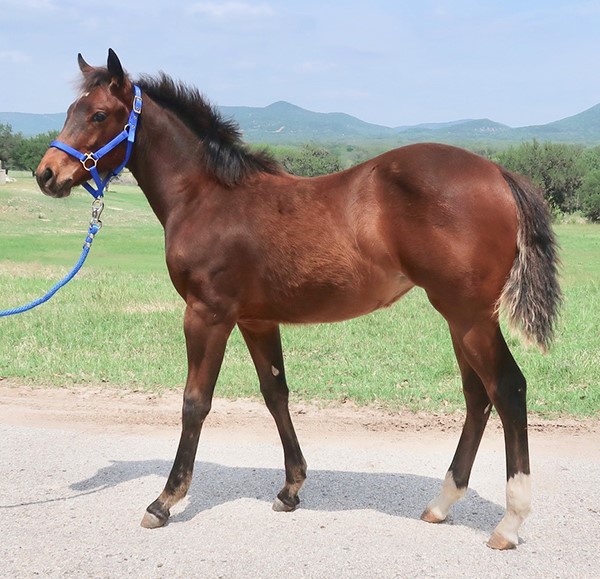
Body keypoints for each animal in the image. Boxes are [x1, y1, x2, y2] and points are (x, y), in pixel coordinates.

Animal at [36, 48, 564, 548]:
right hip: (460, 318)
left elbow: (195, 401)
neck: (208, 196)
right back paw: (441, 503)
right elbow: (276, 394)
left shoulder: (207, 315)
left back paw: (509, 523)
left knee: (508, 389)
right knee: (478, 397)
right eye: (70, 109)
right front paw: (291, 489)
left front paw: (165, 500)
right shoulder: (255, 320)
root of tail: (498, 172)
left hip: (470, 317)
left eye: (99, 114)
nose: (47, 174)